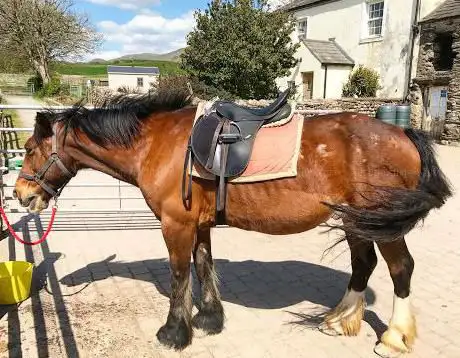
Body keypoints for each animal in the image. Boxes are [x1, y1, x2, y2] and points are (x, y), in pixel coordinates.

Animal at [14, 91, 452, 356]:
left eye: (31, 148)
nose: (21, 194)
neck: (157, 143)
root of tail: (405, 134)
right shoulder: (200, 224)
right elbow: (203, 264)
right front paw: (209, 318)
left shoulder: (175, 224)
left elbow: (179, 276)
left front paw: (174, 332)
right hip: (355, 221)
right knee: (363, 264)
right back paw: (338, 320)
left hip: (381, 223)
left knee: (400, 268)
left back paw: (394, 337)